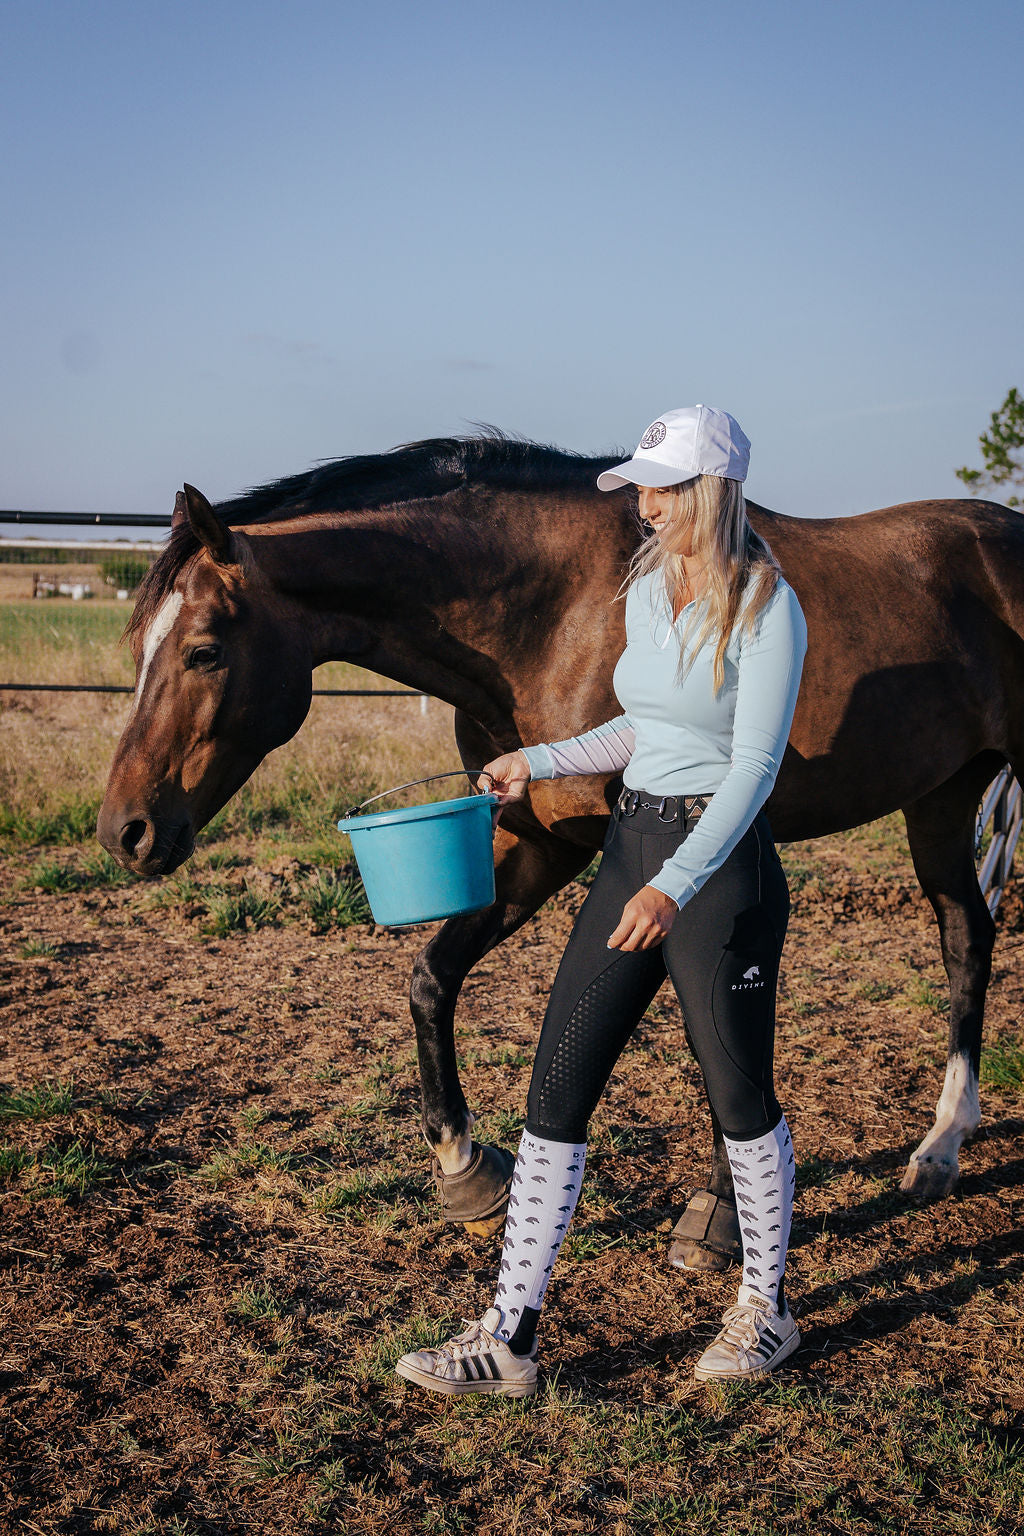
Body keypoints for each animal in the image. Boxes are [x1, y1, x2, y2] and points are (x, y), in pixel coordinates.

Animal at [98, 439, 1024, 1265]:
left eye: (204, 650)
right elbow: (431, 978)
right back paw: (940, 1148)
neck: (557, 614)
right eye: (138, 647)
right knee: (965, 938)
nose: (123, 832)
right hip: (941, 800)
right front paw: (466, 1170)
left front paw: (719, 1218)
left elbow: (710, 1033)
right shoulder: (536, 840)